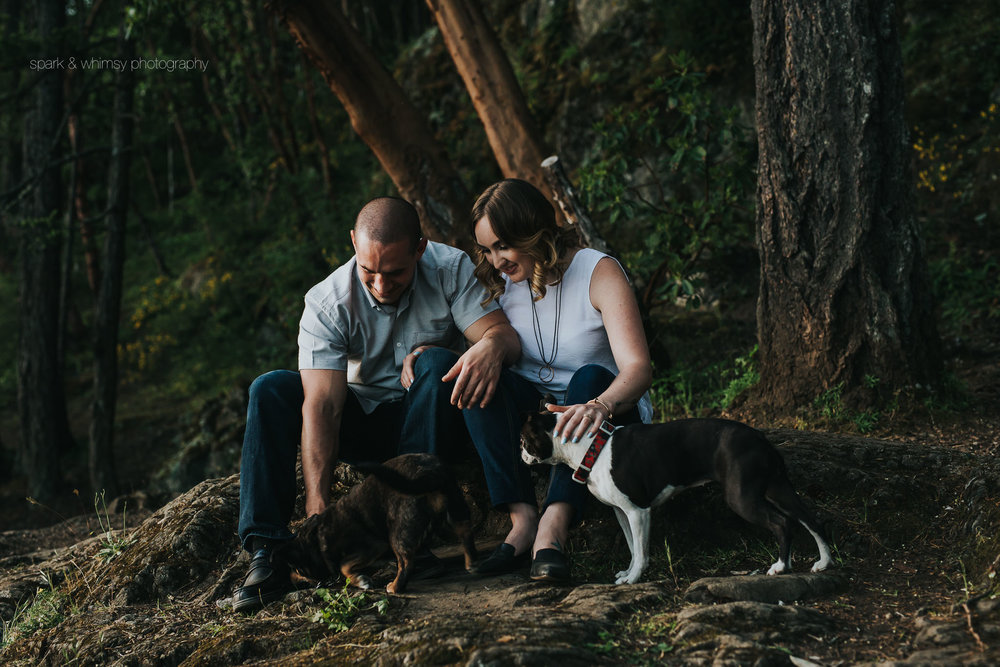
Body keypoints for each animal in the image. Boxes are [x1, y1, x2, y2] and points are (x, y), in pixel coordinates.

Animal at [274, 454, 476, 596]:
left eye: (296, 568)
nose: (291, 582)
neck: (317, 539)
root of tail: (429, 472)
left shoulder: (372, 546)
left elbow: (344, 565)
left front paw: (361, 581)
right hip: (454, 510)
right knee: (466, 530)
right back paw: (471, 563)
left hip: (397, 532)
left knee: (406, 563)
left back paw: (395, 587)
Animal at [520, 408, 832, 584]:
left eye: (523, 440)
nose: (521, 454)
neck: (590, 446)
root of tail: (760, 438)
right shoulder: (624, 513)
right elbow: (634, 547)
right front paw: (629, 572)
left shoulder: (638, 511)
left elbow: (640, 551)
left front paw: (633, 578)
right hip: (779, 488)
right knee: (811, 519)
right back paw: (823, 562)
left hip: (741, 497)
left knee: (782, 522)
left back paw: (780, 566)